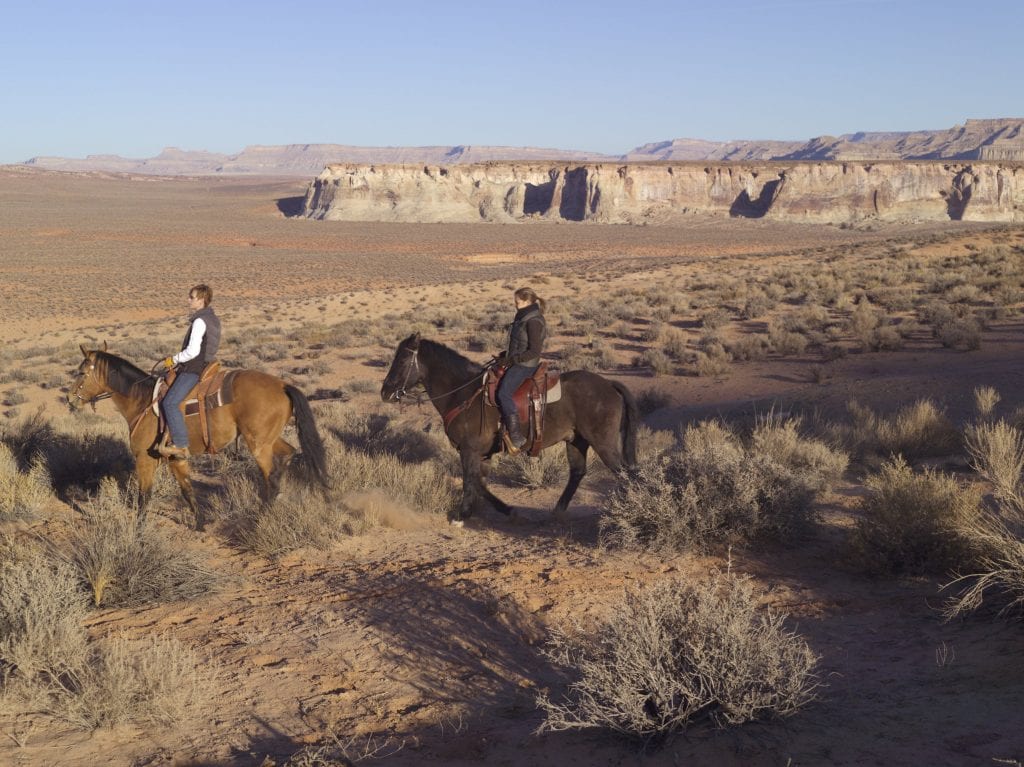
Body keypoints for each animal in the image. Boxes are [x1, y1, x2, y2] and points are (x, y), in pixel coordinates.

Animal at [70, 344, 325, 528]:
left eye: (81, 372)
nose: (70, 399)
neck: (141, 401)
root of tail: (282, 385)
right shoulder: (176, 459)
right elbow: (187, 490)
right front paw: (200, 524)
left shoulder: (145, 459)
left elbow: (144, 496)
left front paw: (138, 529)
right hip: (269, 440)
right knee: (289, 454)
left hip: (259, 446)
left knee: (270, 477)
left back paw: (261, 516)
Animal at [380, 331, 634, 524]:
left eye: (402, 361)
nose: (385, 392)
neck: (461, 393)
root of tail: (608, 384)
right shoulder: (481, 454)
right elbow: (479, 483)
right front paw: (507, 510)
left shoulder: (469, 450)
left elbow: (470, 480)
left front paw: (461, 517)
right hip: (576, 441)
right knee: (578, 473)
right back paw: (557, 511)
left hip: (602, 442)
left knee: (624, 472)